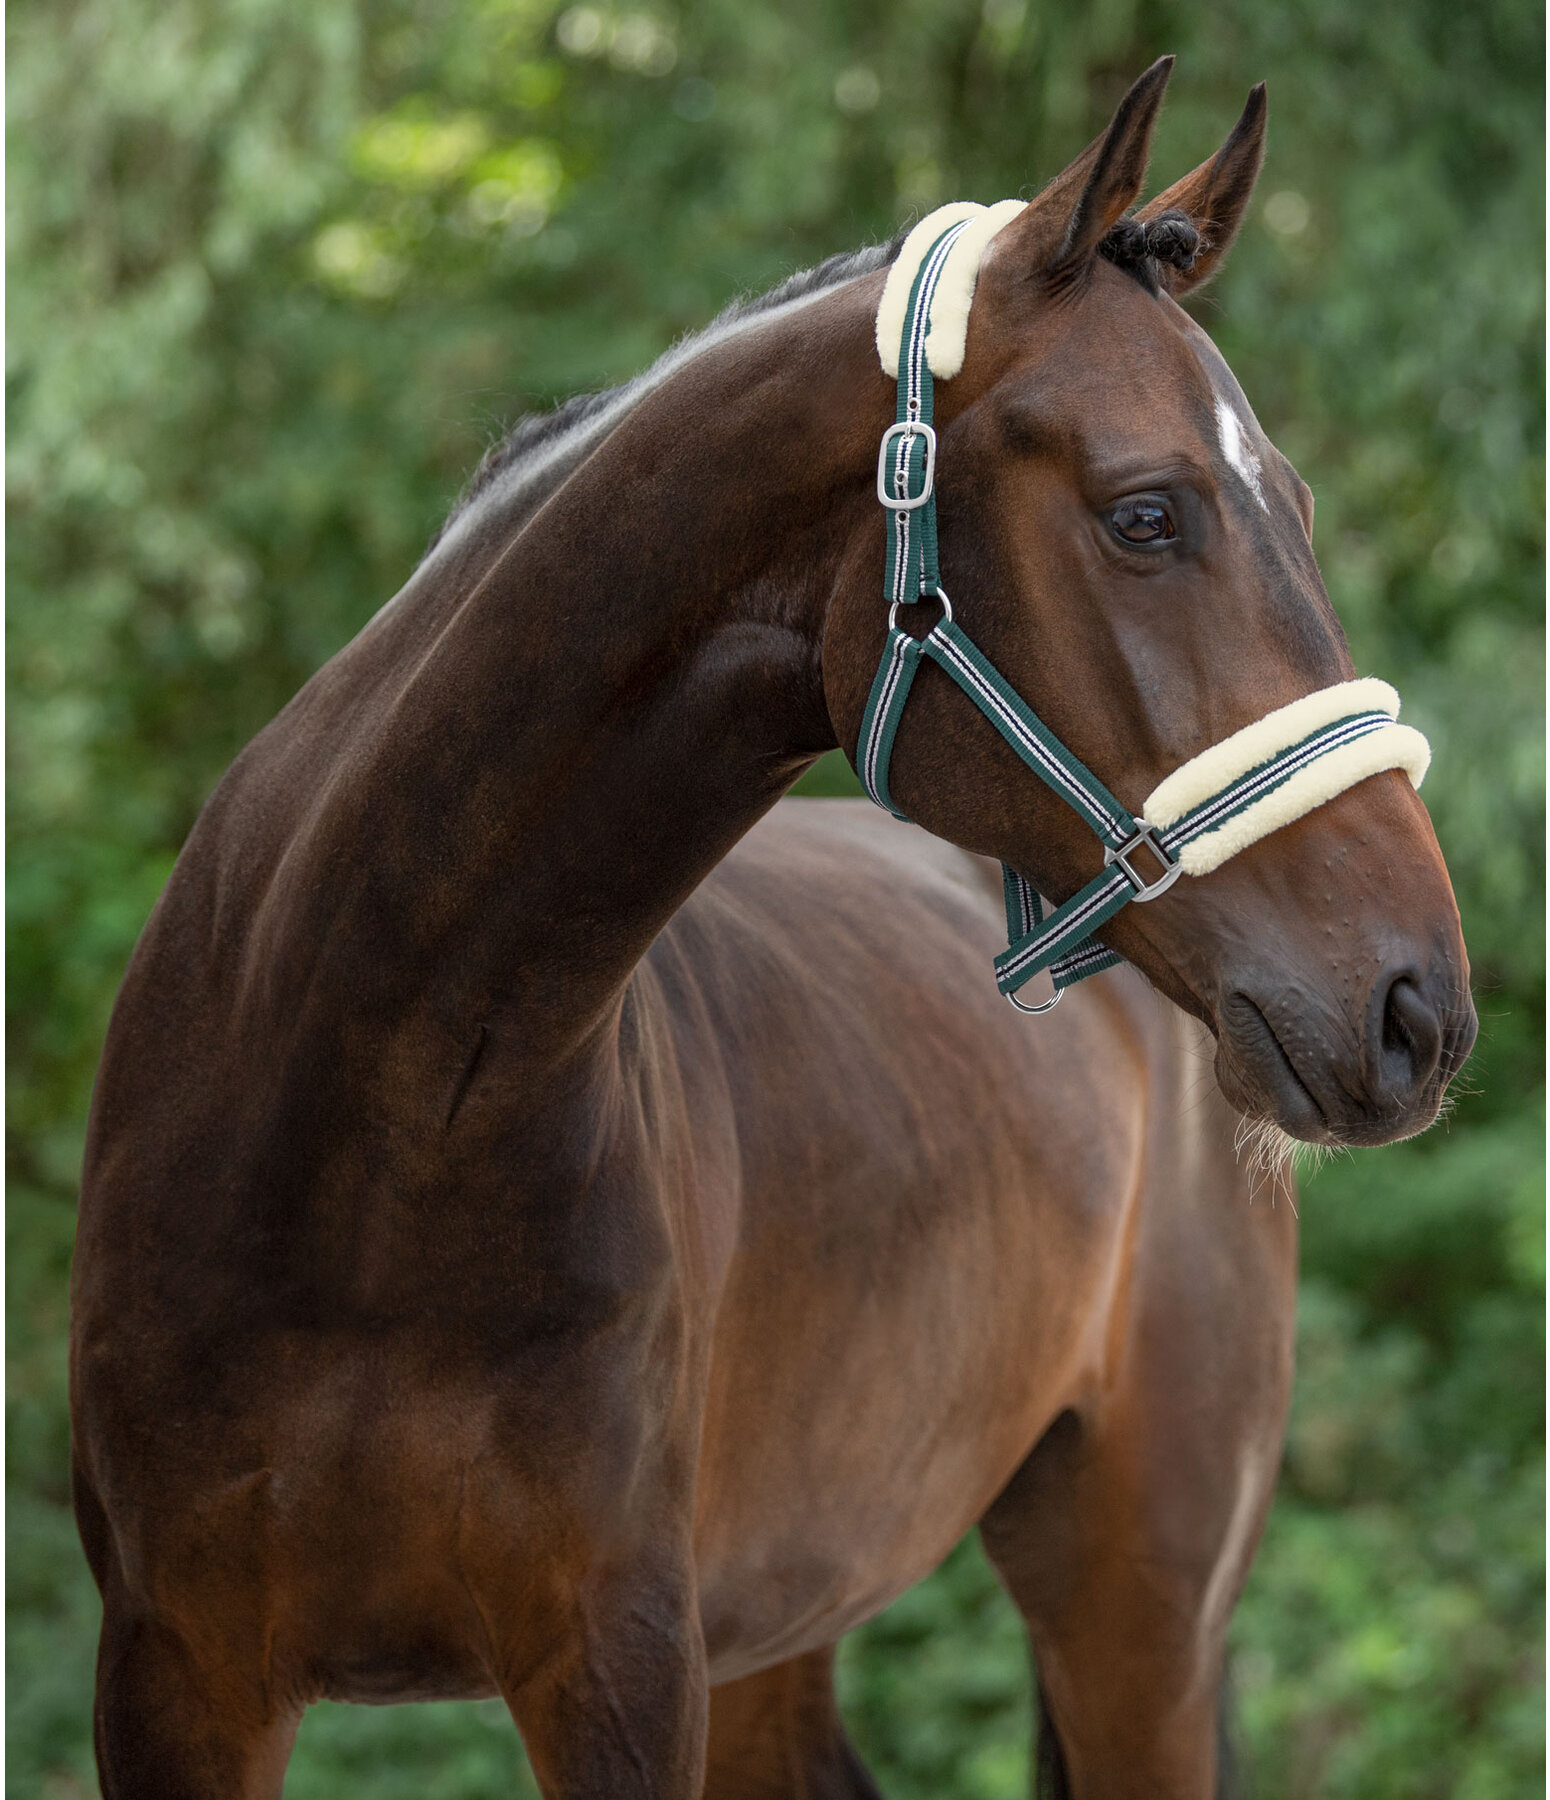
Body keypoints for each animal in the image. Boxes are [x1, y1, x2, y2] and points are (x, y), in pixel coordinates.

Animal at [75, 59, 1476, 1800]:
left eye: (1290, 500)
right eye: (1146, 514)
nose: (1415, 1006)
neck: (370, 1114)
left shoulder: (619, 1667)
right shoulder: (177, 1675)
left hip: (1133, 1600)